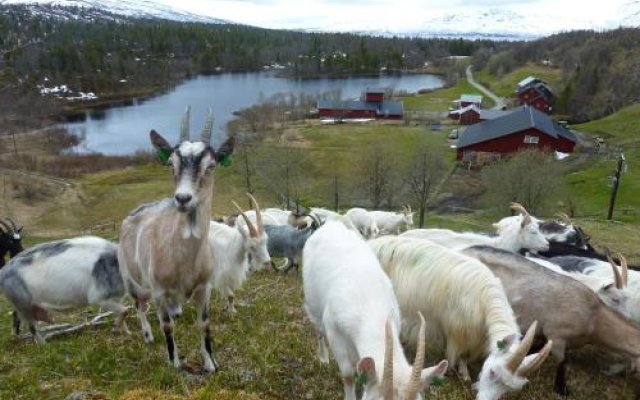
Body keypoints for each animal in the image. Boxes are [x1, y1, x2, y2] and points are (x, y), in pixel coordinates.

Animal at [118, 107, 235, 372]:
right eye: (171, 163)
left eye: (211, 165)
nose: (182, 199)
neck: (186, 261)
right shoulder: (159, 290)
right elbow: (167, 326)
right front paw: (175, 363)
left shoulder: (204, 287)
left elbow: (204, 323)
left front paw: (211, 363)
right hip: (132, 279)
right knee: (139, 305)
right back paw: (148, 335)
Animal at [304, 222, 444, 400]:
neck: (372, 308)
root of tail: (331, 224)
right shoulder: (334, 331)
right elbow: (348, 374)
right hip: (312, 301)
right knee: (318, 328)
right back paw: (323, 357)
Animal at [368, 238, 552, 400]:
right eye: (492, 372)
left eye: (508, 388)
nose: (484, 399)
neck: (484, 298)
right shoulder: (459, 332)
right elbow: (460, 355)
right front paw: (462, 374)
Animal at [462, 245, 640, 396]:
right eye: (615, 299)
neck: (594, 317)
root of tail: (464, 250)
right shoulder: (557, 336)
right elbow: (562, 362)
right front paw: (562, 389)